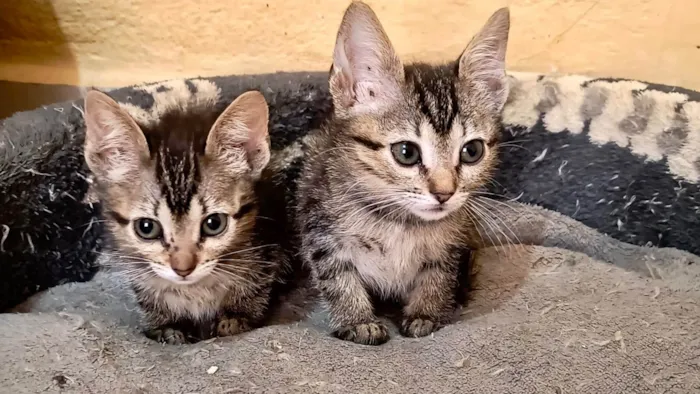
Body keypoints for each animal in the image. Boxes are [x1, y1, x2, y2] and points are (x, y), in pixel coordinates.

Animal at [296, 1, 508, 344]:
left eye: (472, 151)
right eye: (406, 153)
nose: (444, 193)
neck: (399, 222)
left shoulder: (452, 243)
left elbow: (439, 274)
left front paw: (426, 312)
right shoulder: (320, 228)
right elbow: (337, 277)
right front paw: (356, 320)